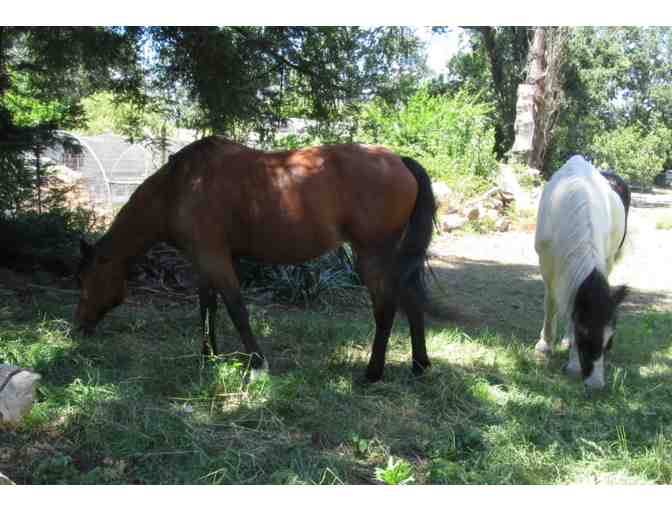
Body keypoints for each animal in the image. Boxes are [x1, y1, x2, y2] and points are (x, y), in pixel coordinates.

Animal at [76, 135, 438, 382]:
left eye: (87, 281)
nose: (78, 327)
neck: (178, 188)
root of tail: (398, 160)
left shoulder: (215, 259)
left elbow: (237, 310)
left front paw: (257, 363)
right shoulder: (203, 261)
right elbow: (207, 307)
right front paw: (208, 355)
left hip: (372, 256)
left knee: (386, 307)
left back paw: (373, 373)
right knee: (412, 301)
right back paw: (419, 365)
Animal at [536, 153, 632, 388]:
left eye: (610, 341)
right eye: (584, 333)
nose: (596, 384)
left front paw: (571, 360)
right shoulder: (546, 265)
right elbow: (550, 302)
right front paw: (545, 344)